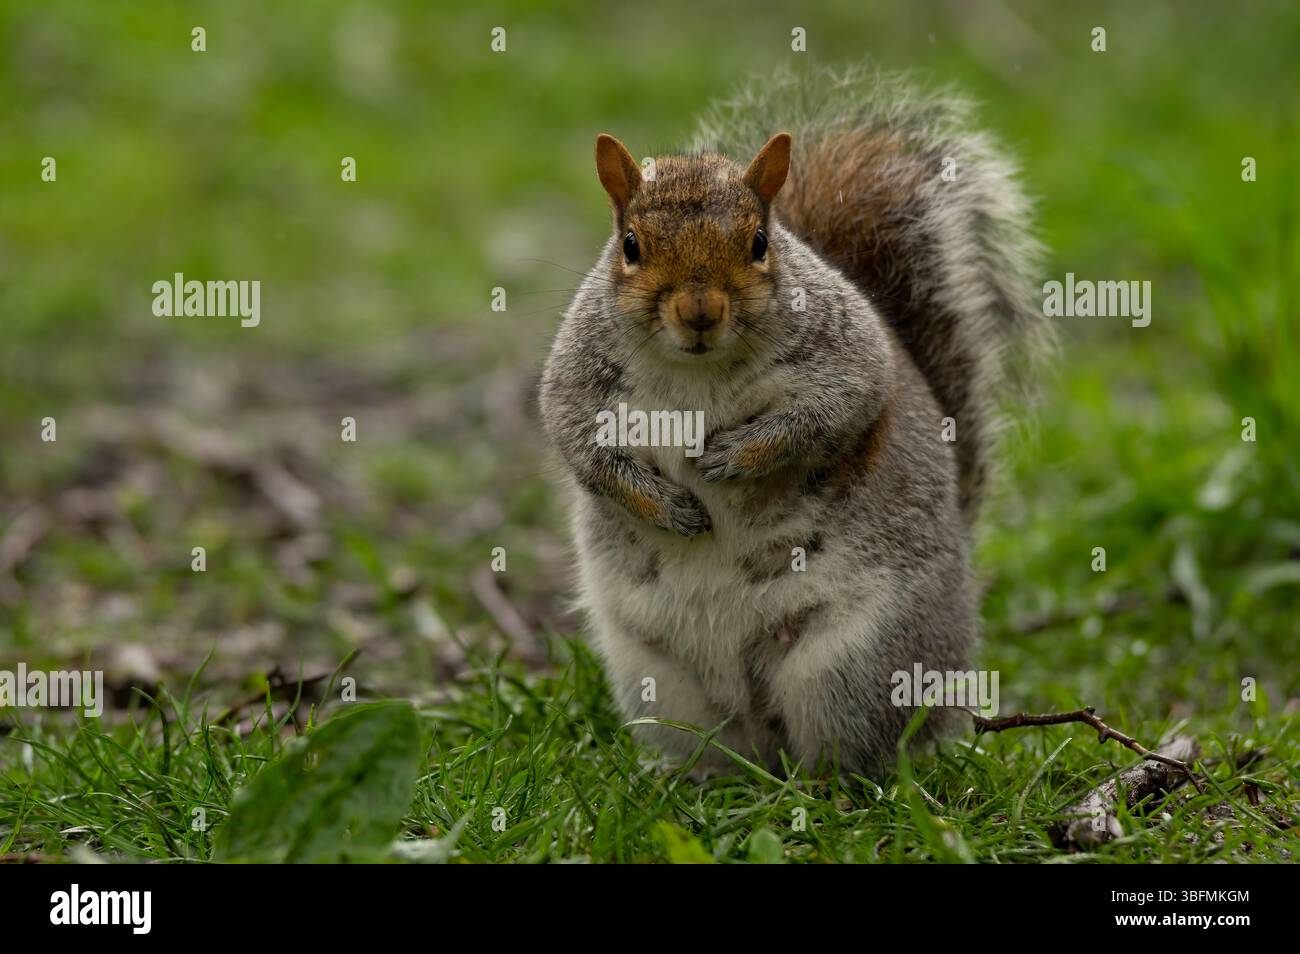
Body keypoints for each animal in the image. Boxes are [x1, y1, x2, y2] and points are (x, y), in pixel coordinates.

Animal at [539, 66, 1045, 776]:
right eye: (630, 246)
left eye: (758, 243)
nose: (700, 311)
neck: (698, 371)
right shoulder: (578, 384)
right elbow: (583, 450)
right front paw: (665, 505)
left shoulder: (849, 357)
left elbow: (825, 417)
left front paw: (735, 457)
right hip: (660, 678)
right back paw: (693, 780)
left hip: (853, 667)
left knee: (859, 748)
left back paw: (830, 785)